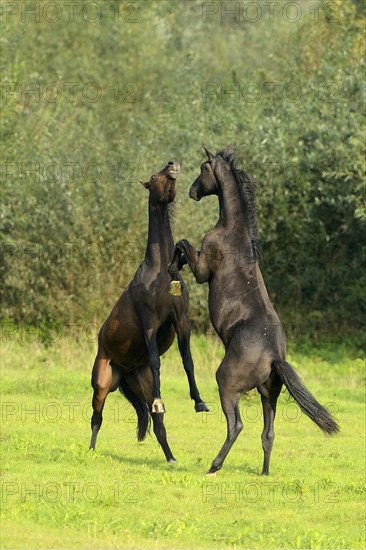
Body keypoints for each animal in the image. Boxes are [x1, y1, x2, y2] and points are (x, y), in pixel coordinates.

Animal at [89, 161, 207, 466]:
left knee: (158, 422)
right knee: (97, 417)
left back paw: (171, 458)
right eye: (154, 176)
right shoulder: (150, 324)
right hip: (102, 384)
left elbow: (188, 361)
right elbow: (156, 361)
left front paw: (199, 401)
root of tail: (124, 371)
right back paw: (90, 452)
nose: (172, 166)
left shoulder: (181, 321)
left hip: (138, 383)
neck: (160, 272)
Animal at [170, 149, 338, 476]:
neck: (232, 231)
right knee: (268, 433)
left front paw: (173, 265)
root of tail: (273, 355)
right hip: (268, 394)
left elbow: (181, 244)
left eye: (203, 168)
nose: (192, 192)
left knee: (236, 426)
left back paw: (214, 466)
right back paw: (264, 473)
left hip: (228, 384)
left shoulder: (203, 270)